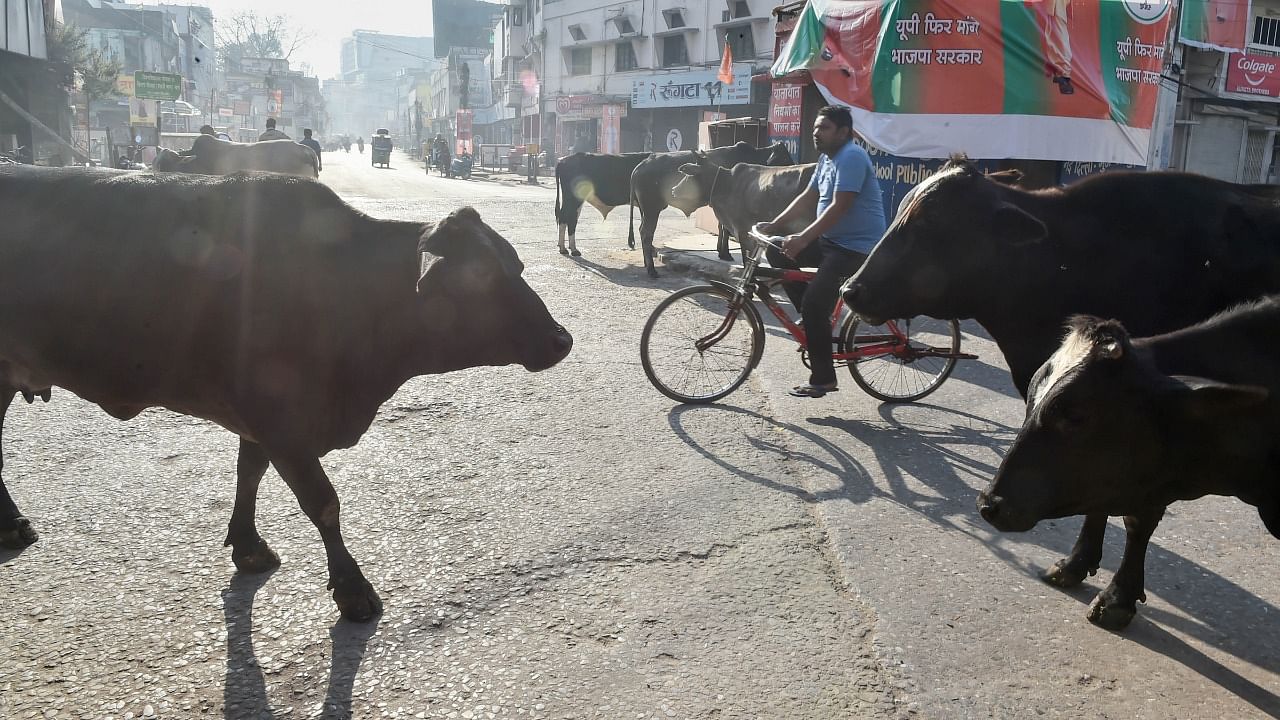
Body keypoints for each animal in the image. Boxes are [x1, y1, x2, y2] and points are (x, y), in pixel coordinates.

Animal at [0, 165, 573, 620]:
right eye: (482, 276)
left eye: (518, 265)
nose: (561, 339)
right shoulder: (279, 419)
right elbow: (323, 503)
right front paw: (353, 590)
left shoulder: (261, 417)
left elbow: (249, 472)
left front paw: (248, 545)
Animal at [627, 141, 793, 275]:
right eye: (785, 158)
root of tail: (640, 166)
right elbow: (726, 230)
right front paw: (726, 254)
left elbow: (722, 228)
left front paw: (722, 252)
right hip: (651, 209)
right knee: (646, 233)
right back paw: (651, 270)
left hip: (646, 210)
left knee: (643, 231)